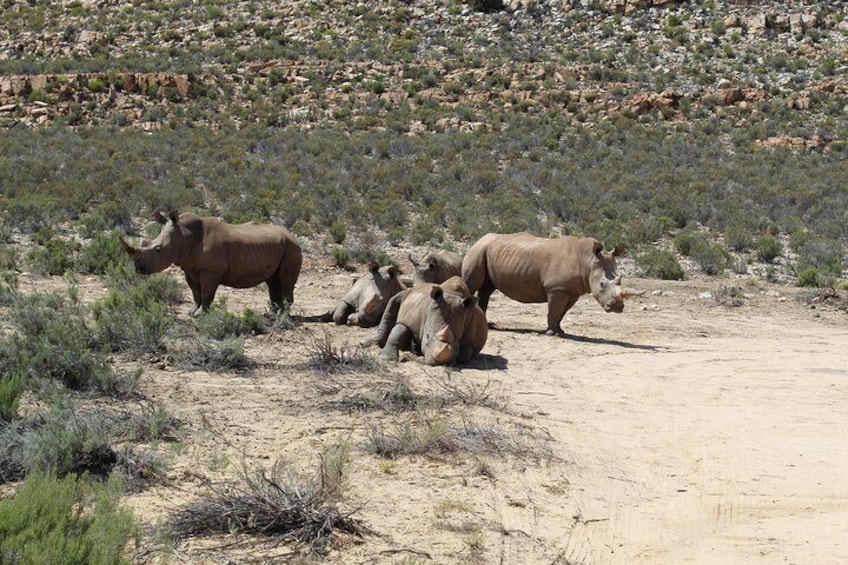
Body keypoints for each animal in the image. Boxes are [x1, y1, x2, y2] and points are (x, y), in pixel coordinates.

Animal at [121, 209, 302, 316]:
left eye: (158, 249)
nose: (138, 268)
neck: (185, 236)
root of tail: (292, 235)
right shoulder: (189, 268)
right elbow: (196, 292)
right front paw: (191, 313)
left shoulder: (211, 270)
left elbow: (207, 292)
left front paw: (201, 314)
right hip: (280, 246)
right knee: (273, 280)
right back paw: (275, 312)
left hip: (292, 248)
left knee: (286, 279)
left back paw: (282, 316)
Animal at [464, 232, 644, 334]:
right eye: (601, 284)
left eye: (620, 279)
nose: (617, 308)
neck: (588, 261)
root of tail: (481, 238)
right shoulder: (557, 288)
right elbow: (554, 310)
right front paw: (551, 333)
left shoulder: (571, 291)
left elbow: (561, 313)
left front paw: (560, 331)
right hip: (478, 250)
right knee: (472, 286)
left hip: (489, 251)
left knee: (487, 289)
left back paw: (486, 324)